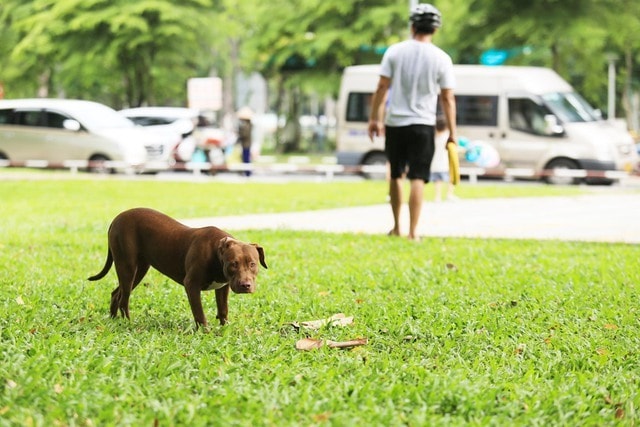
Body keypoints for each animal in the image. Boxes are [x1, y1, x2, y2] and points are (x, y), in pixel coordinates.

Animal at [87, 207, 264, 328]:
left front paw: (224, 329)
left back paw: (113, 320)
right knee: (124, 299)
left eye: (252, 264)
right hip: (127, 266)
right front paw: (205, 332)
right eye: (233, 264)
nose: (245, 285)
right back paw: (127, 323)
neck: (216, 253)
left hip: (139, 270)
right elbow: (199, 314)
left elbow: (223, 309)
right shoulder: (191, 285)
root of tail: (117, 218)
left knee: (116, 294)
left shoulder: (222, 287)